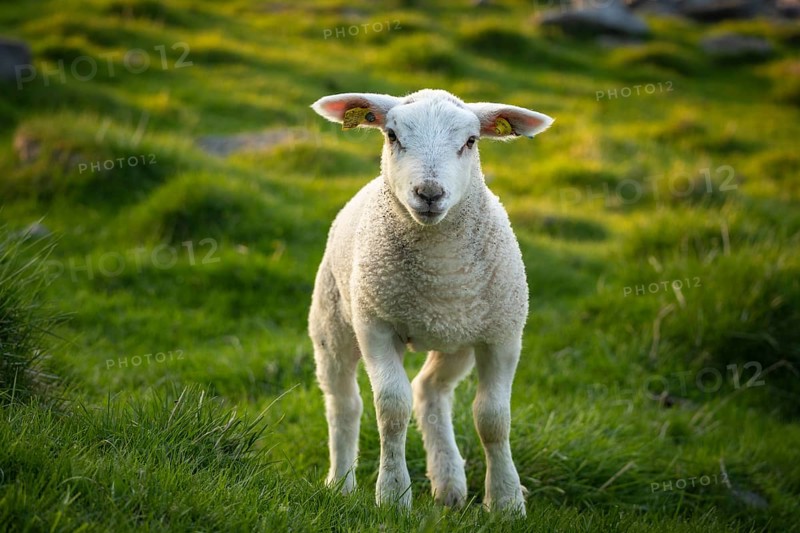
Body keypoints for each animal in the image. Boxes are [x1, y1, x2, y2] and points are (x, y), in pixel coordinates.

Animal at [309, 89, 553, 515]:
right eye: (392, 135)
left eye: (470, 141)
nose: (429, 193)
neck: (440, 273)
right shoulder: (376, 326)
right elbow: (392, 409)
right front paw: (393, 495)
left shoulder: (502, 336)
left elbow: (493, 419)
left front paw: (505, 500)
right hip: (332, 319)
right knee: (344, 403)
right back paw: (340, 483)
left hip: (457, 340)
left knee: (430, 391)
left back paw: (448, 481)